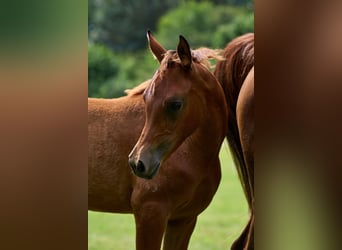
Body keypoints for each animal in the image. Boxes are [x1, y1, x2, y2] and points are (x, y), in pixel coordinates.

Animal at [89, 31, 227, 250]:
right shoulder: (151, 213)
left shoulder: (183, 219)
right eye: (145, 98)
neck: (191, 152)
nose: (138, 163)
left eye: (175, 104)